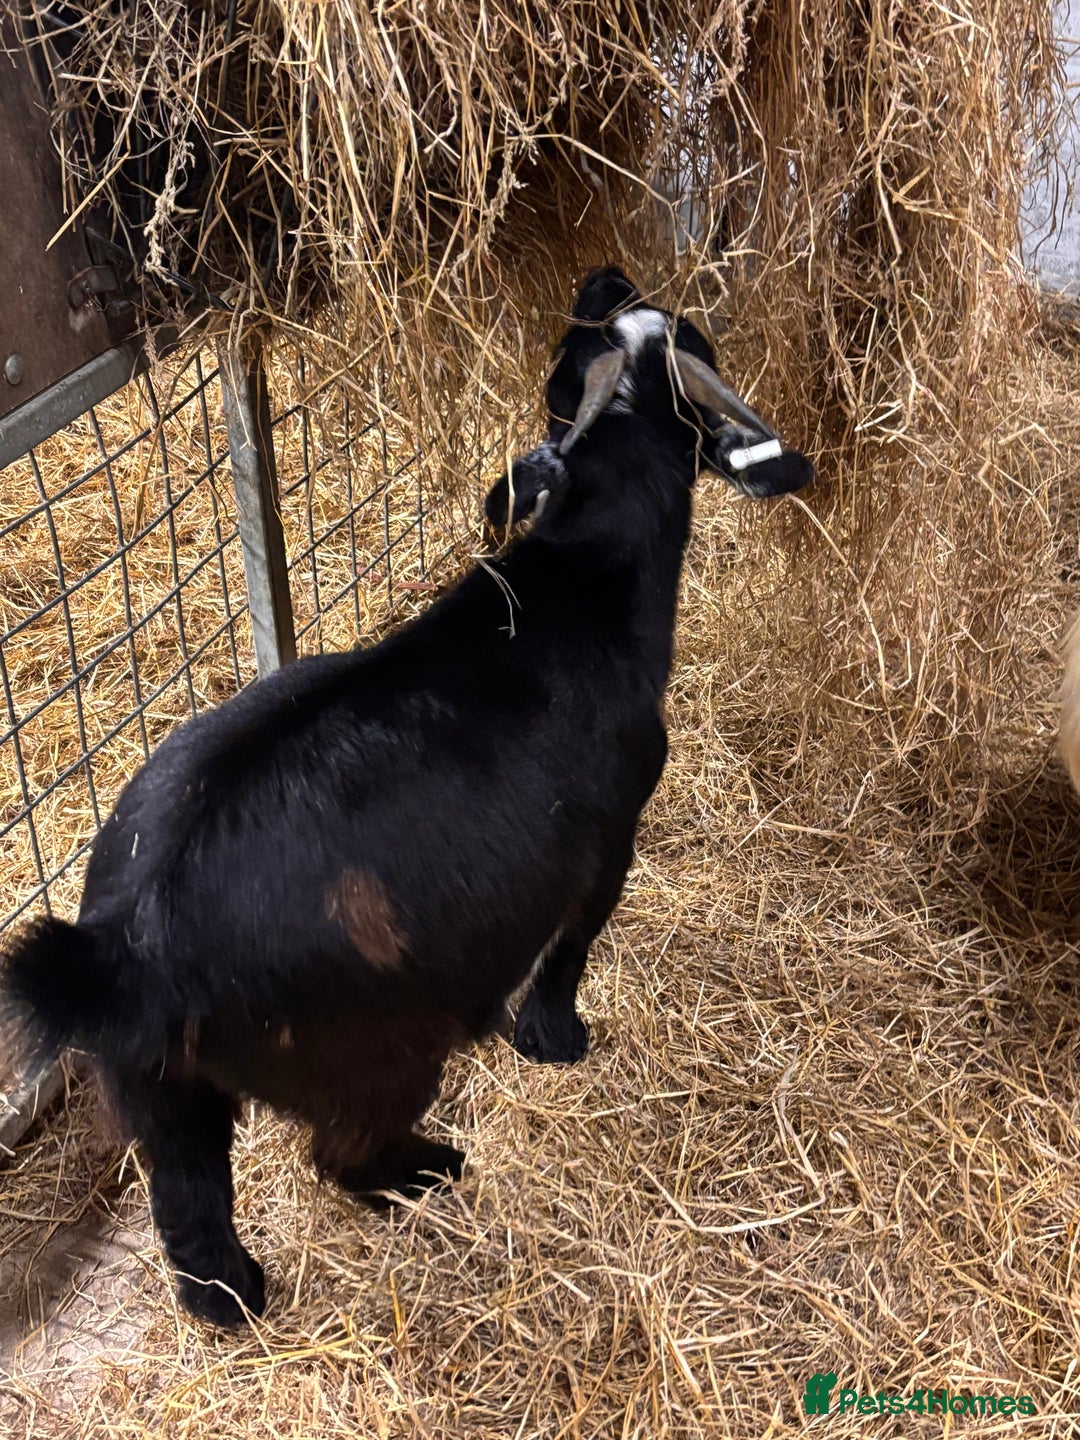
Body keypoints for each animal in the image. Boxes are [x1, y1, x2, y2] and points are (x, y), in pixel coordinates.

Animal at [0, 266, 814, 1326]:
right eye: (692, 340)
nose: (604, 278)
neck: (582, 577)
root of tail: (122, 949)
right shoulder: (608, 839)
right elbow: (571, 947)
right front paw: (555, 1040)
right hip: (377, 1052)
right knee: (342, 1156)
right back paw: (432, 1169)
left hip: (156, 1089)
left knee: (195, 1219)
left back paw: (243, 1300)